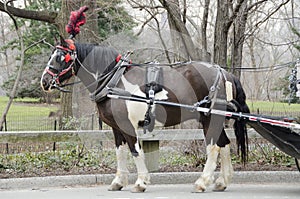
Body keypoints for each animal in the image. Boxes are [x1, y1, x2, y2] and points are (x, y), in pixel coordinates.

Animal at [41, 37, 250, 193]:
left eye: (60, 57)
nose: (44, 81)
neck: (113, 81)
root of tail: (224, 73)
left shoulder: (127, 125)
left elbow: (135, 151)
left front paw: (141, 182)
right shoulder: (116, 127)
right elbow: (120, 152)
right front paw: (118, 182)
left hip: (209, 118)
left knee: (213, 147)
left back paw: (202, 182)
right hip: (216, 119)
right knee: (224, 144)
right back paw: (222, 181)